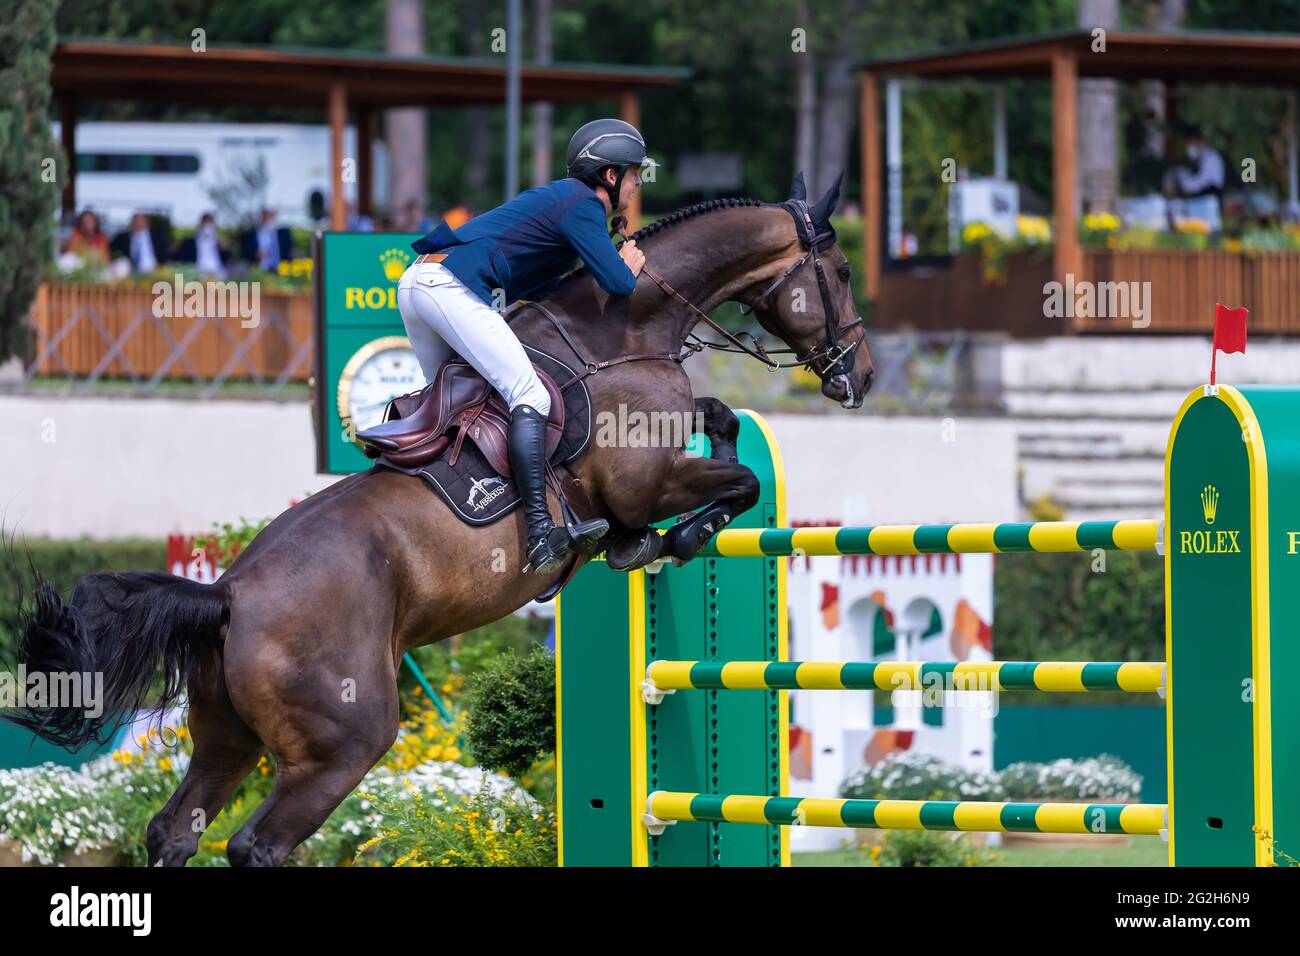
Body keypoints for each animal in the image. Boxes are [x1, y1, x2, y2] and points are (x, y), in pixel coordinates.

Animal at [7, 171, 873, 868]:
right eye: (839, 272)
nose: (859, 377)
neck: (620, 330)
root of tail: (229, 596)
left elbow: (721, 420)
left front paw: (651, 537)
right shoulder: (644, 480)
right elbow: (739, 482)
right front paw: (674, 538)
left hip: (226, 735)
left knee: (173, 831)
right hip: (342, 744)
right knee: (256, 845)